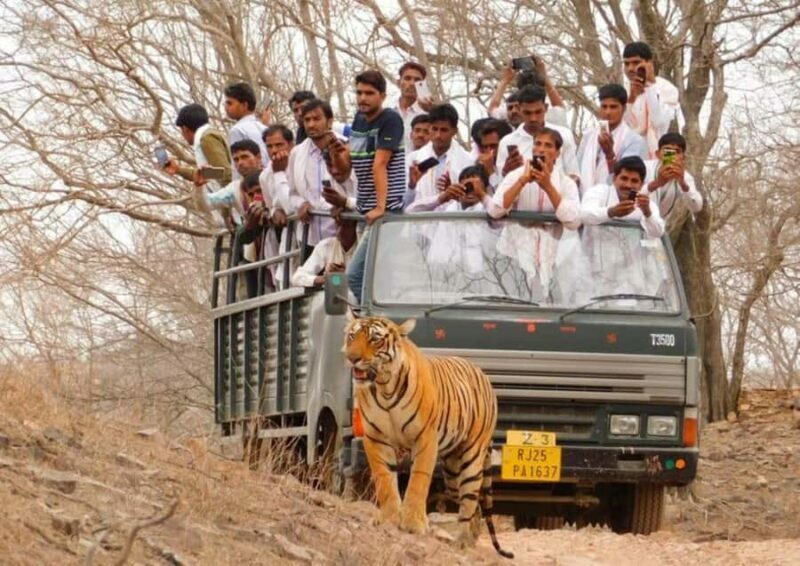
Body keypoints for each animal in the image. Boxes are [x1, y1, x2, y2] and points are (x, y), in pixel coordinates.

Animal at [343, 310, 513, 558]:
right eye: (351, 337)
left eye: (375, 339)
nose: (351, 358)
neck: (384, 386)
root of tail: (481, 372)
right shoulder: (375, 437)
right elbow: (384, 478)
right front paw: (389, 518)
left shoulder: (425, 438)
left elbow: (418, 480)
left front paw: (413, 524)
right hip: (452, 474)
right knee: (474, 506)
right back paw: (471, 539)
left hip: (471, 458)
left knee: (470, 501)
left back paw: (462, 542)